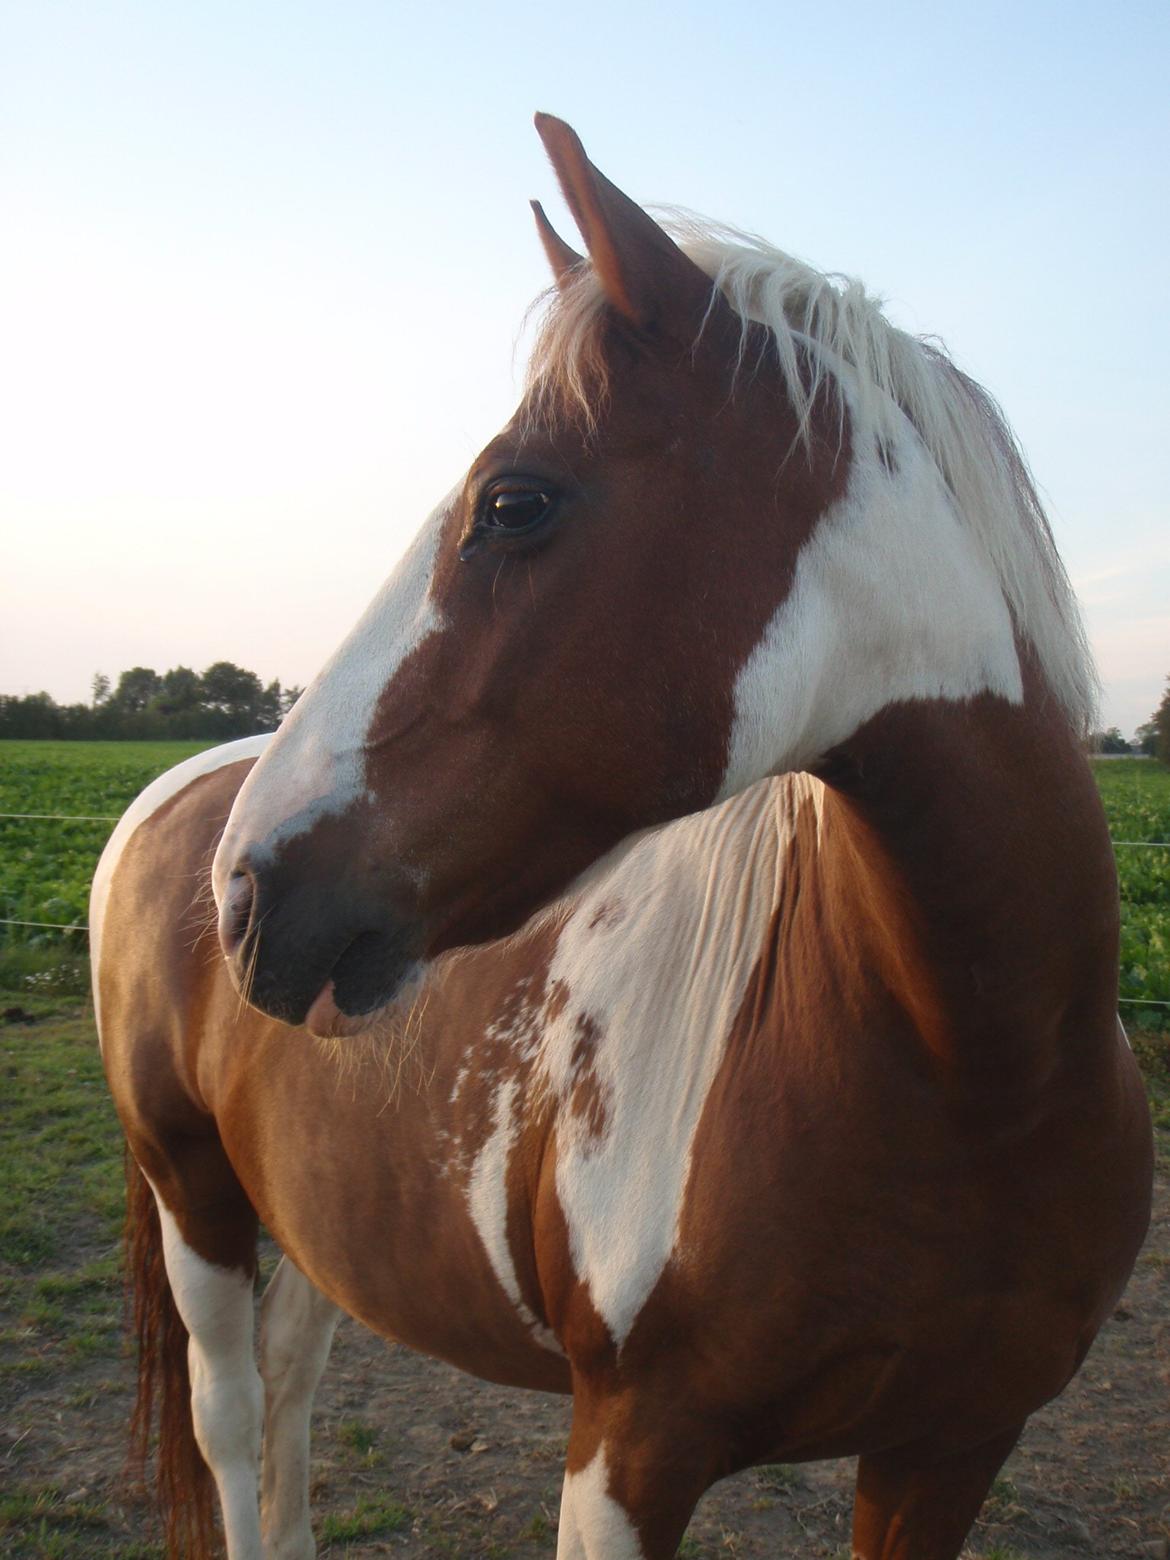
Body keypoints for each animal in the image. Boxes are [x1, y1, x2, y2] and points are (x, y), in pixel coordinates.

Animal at [92, 113, 1153, 1560]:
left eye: (513, 503)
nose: (248, 890)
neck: (977, 1079)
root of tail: (171, 800)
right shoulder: (628, 1453)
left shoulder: (950, 1444)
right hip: (190, 1192)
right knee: (231, 1426)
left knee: (290, 1389)